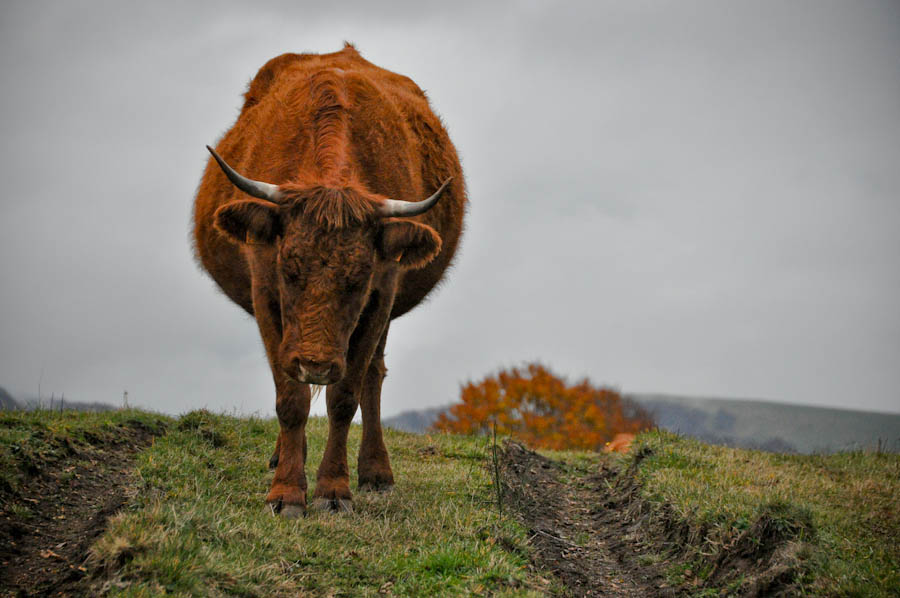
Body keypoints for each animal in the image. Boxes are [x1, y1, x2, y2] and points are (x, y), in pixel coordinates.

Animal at [194, 44, 468, 516]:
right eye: (288, 269)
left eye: (358, 279)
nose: (316, 364)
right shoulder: (264, 291)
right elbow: (290, 398)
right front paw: (286, 491)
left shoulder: (382, 293)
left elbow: (345, 397)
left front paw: (333, 489)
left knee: (373, 377)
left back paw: (376, 472)